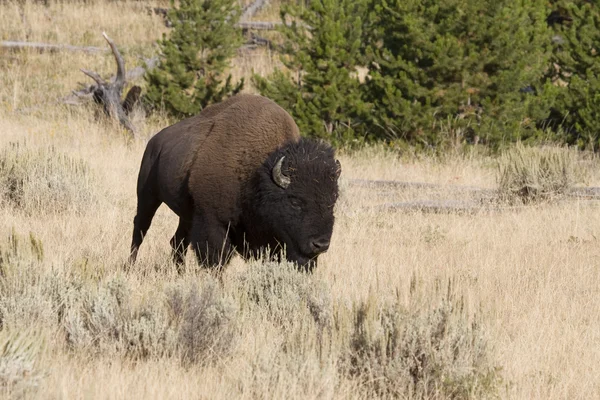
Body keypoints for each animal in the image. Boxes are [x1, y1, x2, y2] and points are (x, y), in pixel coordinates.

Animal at [128, 94, 340, 272]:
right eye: (295, 201)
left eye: (332, 201)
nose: (320, 244)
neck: (257, 176)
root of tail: (155, 142)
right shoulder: (213, 222)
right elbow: (216, 259)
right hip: (147, 196)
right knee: (140, 229)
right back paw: (129, 266)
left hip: (186, 215)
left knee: (177, 241)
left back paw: (179, 272)